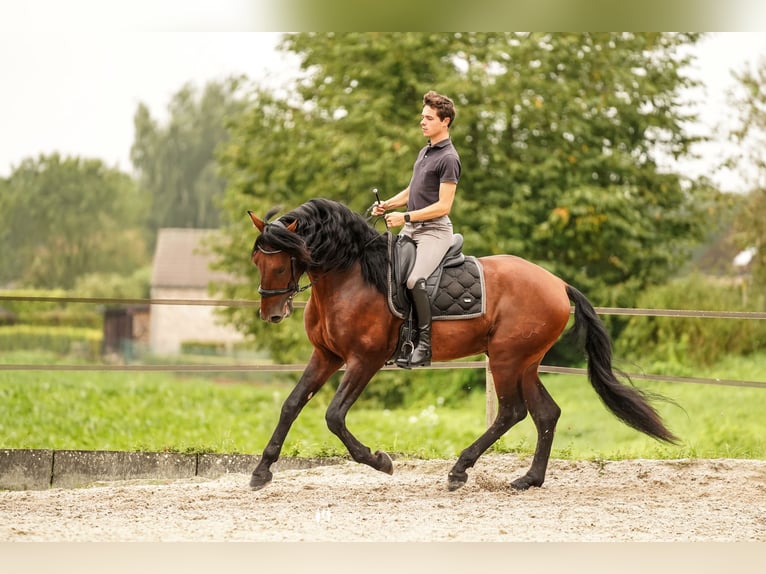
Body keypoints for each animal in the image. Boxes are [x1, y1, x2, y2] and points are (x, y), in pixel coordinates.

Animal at [248, 200, 680, 492]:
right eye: (257, 260)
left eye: (283, 259)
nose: (271, 313)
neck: (351, 275)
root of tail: (557, 284)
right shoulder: (327, 356)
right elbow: (291, 405)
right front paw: (261, 471)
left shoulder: (364, 360)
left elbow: (334, 416)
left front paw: (380, 461)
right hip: (524, 362)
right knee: (546, 413)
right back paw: (528, 479)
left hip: (506, 358)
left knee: (511, 412)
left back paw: (460, 469)